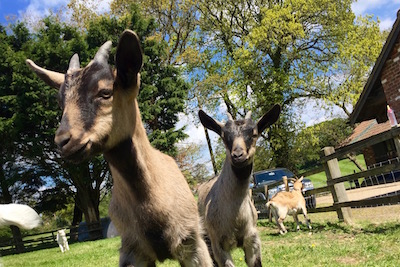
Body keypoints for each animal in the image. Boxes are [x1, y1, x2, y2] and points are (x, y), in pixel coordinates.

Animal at [198, 107, 280, 267]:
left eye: (254, 134)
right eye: (224, 136)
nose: (238, 155)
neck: (236, 218)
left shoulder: (252, 241)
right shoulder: (218, 245)